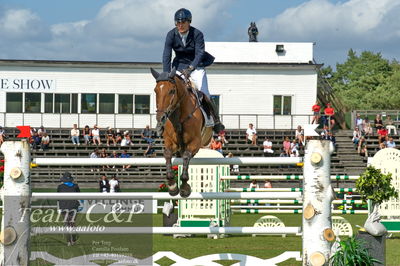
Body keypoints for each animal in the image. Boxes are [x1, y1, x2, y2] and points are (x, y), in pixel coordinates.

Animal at [151, 67, 214, 197]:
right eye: (155, 91)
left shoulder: (195, 142)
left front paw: (184, 187)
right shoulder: (171, 142)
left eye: (171, 91)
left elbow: (186, 156)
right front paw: (172, 185)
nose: (160, 118)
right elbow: (167, 154)